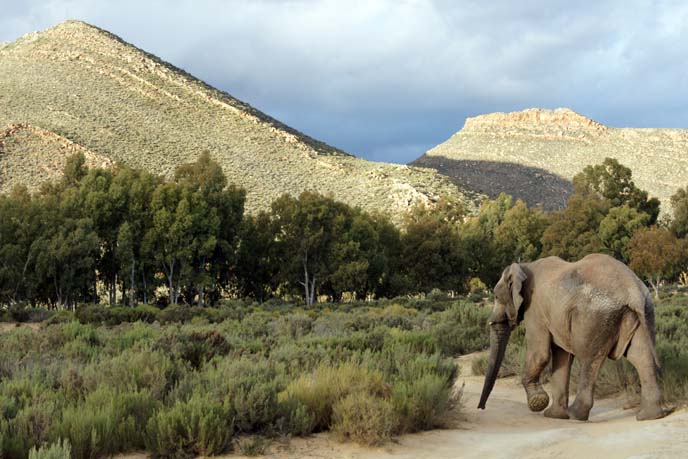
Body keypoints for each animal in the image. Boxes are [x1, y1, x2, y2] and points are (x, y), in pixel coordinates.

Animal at [476, 253, 664, 422]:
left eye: (496, 296)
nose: (481, 408)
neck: (524, 265)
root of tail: (632, 289)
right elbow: (561, 356)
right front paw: (554, 416)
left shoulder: (534, 309)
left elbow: (540, 354)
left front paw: (538, 403)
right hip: (643, 312)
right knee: (640, 356)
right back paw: (649, 416)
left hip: (594, 318)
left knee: (589, 358)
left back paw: (576, 415)